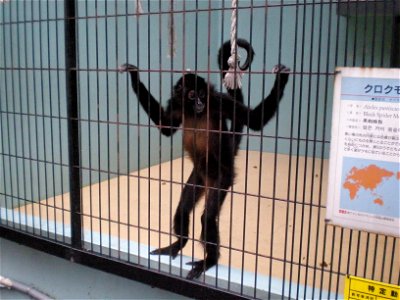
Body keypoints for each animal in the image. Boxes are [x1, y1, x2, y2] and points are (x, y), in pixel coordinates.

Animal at [117, 39, 290, 278]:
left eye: (202, 94)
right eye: (192, 95)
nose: (200, 103)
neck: (195, 112)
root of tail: (209, 178)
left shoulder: (218, 102)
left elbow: (254, 120)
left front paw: (282, 78)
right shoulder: (177, 106)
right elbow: (166, 128)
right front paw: (135, 76)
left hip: (222, 178)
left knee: (206, 218)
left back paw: (210, 261)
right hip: (198, 176)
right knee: (182, 208)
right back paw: (179, 244)